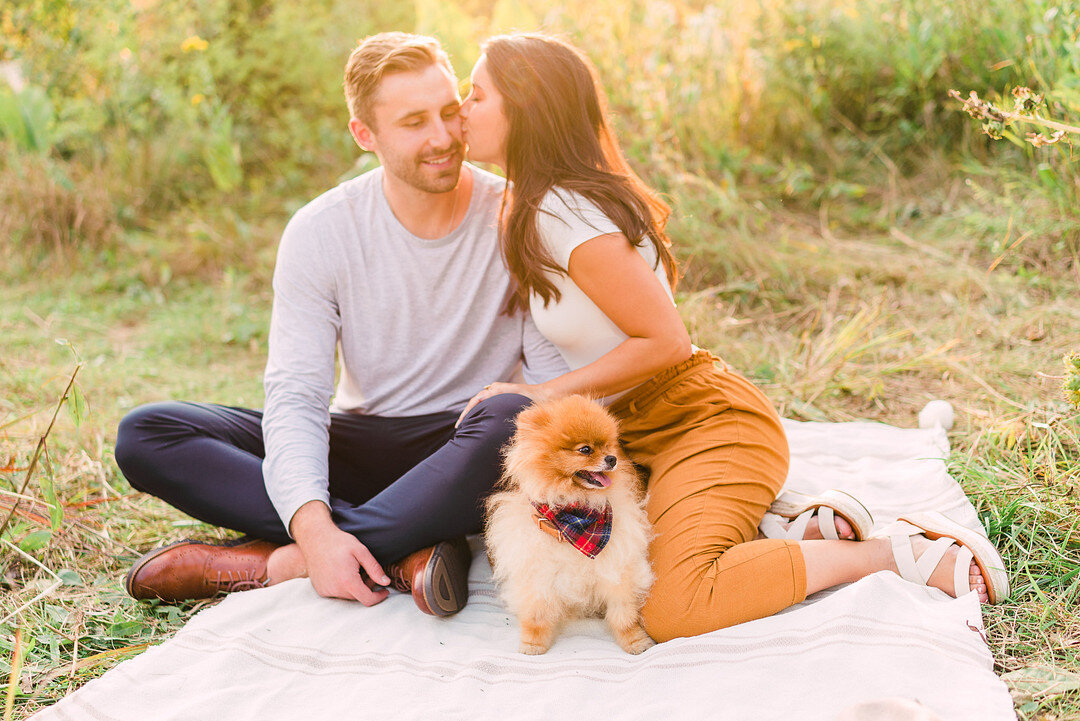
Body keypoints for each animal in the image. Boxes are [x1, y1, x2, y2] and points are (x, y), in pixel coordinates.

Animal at [486, 395, 652, 651]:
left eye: (608, 446)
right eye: (585, 450)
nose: (612, 459)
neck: (574, 518)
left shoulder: (616, 567)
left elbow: (623, 613)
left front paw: (635, 640)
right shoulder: (538, 573)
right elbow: (536, 614)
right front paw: (532, 643)